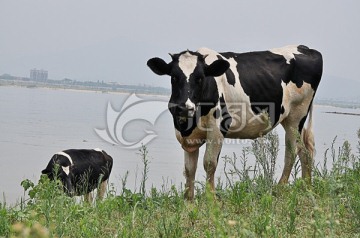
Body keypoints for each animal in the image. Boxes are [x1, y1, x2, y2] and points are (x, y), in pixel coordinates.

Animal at [147, 45, 324, 201]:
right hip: (292, 121)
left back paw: (279, 190)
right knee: (305, 151)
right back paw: (306, 188)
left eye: (200, 78)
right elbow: (189, 169)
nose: (185, 107)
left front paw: (211, 200)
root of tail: (305, 48)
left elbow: (209, 163)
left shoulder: (217, 129)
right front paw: (189, 202)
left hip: (296, 116)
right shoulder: (188, 136)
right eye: (174, 77)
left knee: (292, 152)